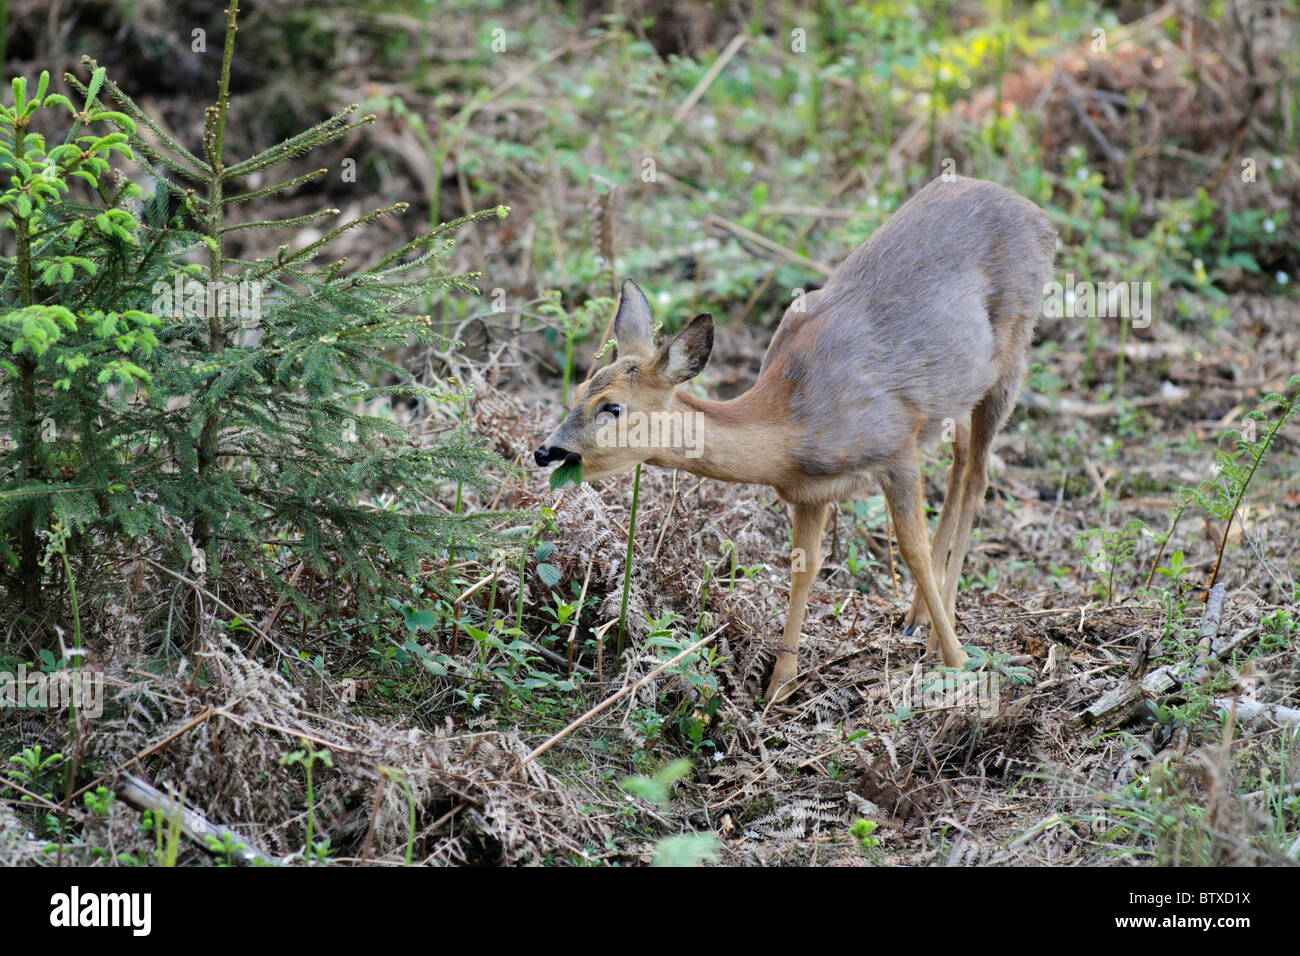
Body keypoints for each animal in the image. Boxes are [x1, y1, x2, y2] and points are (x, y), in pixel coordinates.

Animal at [535, 176, 1056, 702]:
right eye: (578, 390)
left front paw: (959, 661)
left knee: (977, 477)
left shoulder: (897, 445)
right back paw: (915, 620)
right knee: (961, 462)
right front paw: (779, 686)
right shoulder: (810, 492)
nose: (546, 451)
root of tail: (1036, 214)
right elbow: (803, 568)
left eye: (613, 407)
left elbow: (914, 550)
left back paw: (937, 633)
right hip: (958, 397)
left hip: (1011, 356)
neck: (792, 423)